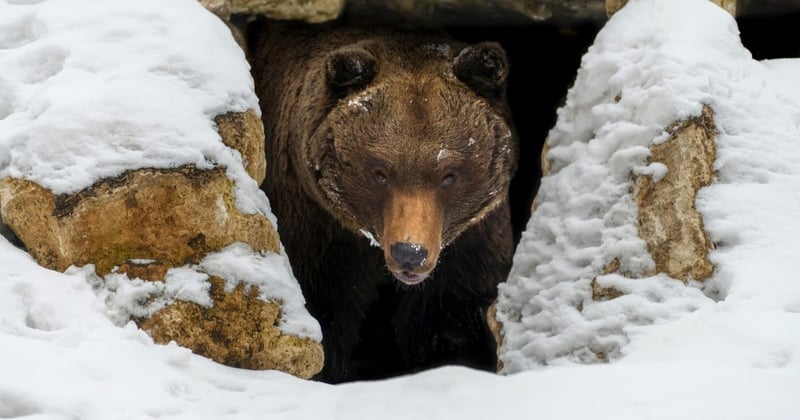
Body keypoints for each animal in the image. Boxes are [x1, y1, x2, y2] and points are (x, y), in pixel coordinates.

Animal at [248, 23, 520, 384]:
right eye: (380, 172)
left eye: (449, 175)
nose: (410, 252)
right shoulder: (319, 231)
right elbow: (324, 312)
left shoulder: (469, 246)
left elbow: (449, 323)